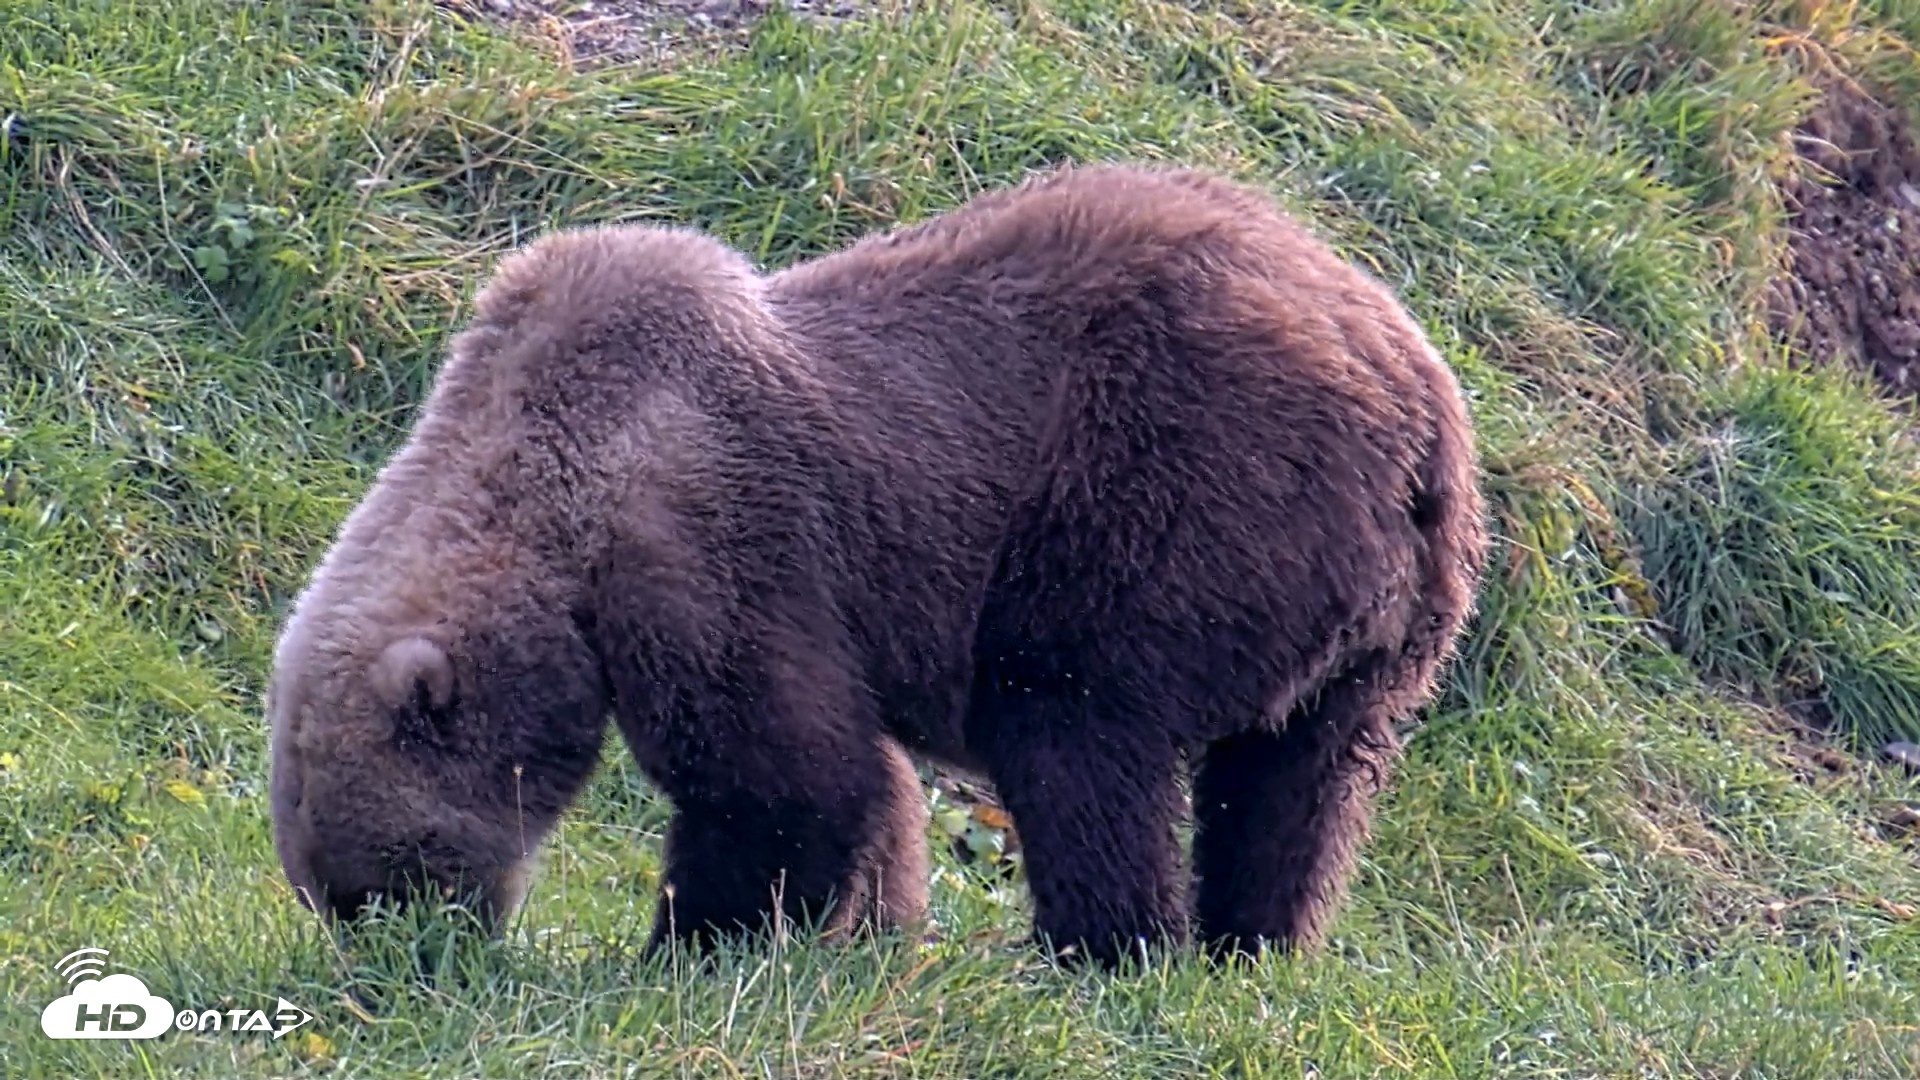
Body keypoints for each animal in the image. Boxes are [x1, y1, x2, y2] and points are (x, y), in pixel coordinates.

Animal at [266, 160, 1490, 971]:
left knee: (1074, 721)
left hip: (1173, 487)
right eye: (332, 887)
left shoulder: (705, 534)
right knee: (1299, 778)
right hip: (1381, 623)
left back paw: (1098, 950)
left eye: (386, 875)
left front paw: (696, 947)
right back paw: (1254, 942)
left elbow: (777, 773)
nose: (407, 962)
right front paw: (875, 926)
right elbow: (868, 779)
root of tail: (1416, 402)